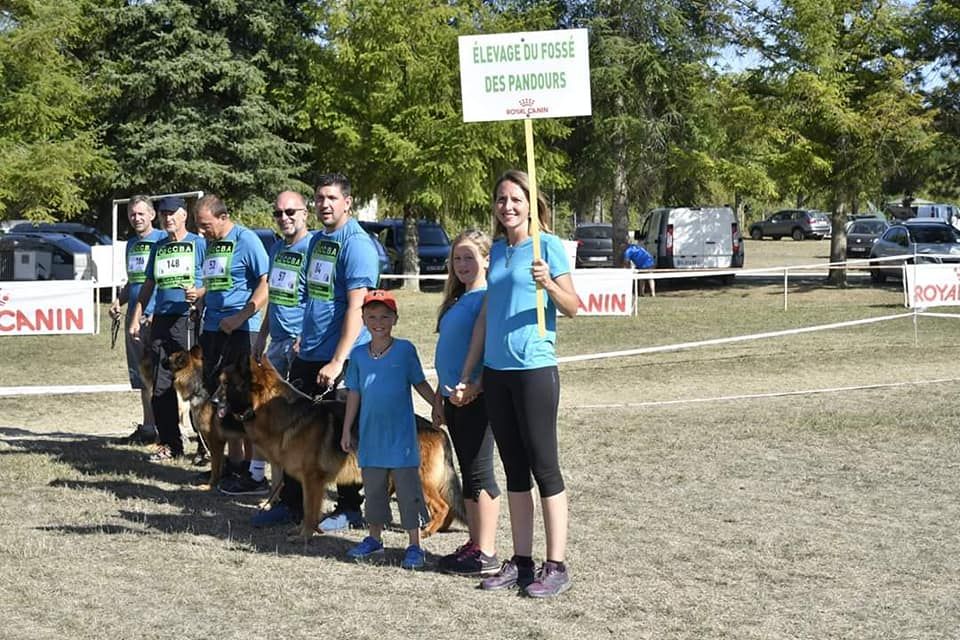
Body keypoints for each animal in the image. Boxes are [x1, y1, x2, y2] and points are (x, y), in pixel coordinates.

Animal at [213, 356, 464, 540]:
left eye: (226, 384)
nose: (213, 402)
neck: (281, 411)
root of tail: (437, 429)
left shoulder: (312, 480)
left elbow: (308, 510)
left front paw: (305, 535)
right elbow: (307, 508)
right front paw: (305, 531)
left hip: (417, 479)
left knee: (443, 506)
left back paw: (428, 530)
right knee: (449, 507)